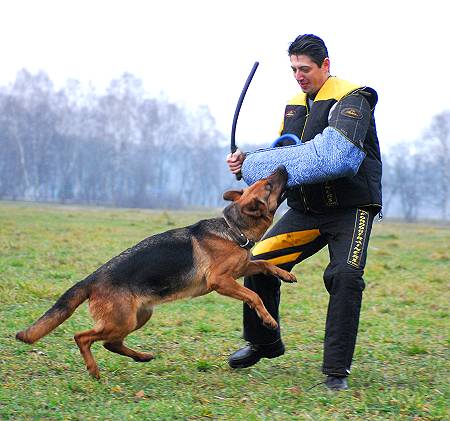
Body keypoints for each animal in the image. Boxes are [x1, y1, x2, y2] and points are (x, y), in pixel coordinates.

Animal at [15, 165, 296, 378]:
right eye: (268, 185)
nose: (283, 166)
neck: (233, 229)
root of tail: (91, 279)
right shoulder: (221, 281)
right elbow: (254, 296)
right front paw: (268, 319)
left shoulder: (239, 270)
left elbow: (264, 264)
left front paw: (286, 275)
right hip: (122, 320)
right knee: (82, 337)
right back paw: (94, 370)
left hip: (139, 317)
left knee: (111, 343)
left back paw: (142, 357)